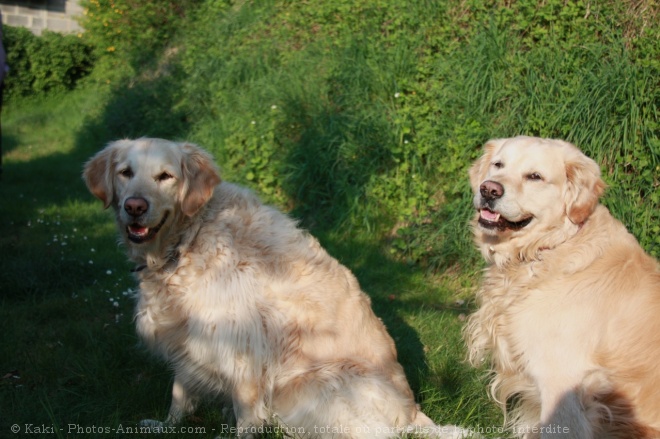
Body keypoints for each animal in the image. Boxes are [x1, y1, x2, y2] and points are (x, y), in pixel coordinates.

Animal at [84, 138, 470, 439]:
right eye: (125, 172)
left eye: (165, 176)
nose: (135, 207)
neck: (185, 240)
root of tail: (413, 411)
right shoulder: (188, 335)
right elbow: (180, 392)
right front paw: (168, 425)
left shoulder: (239, 340)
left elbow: (246, 413)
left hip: (307, 384)